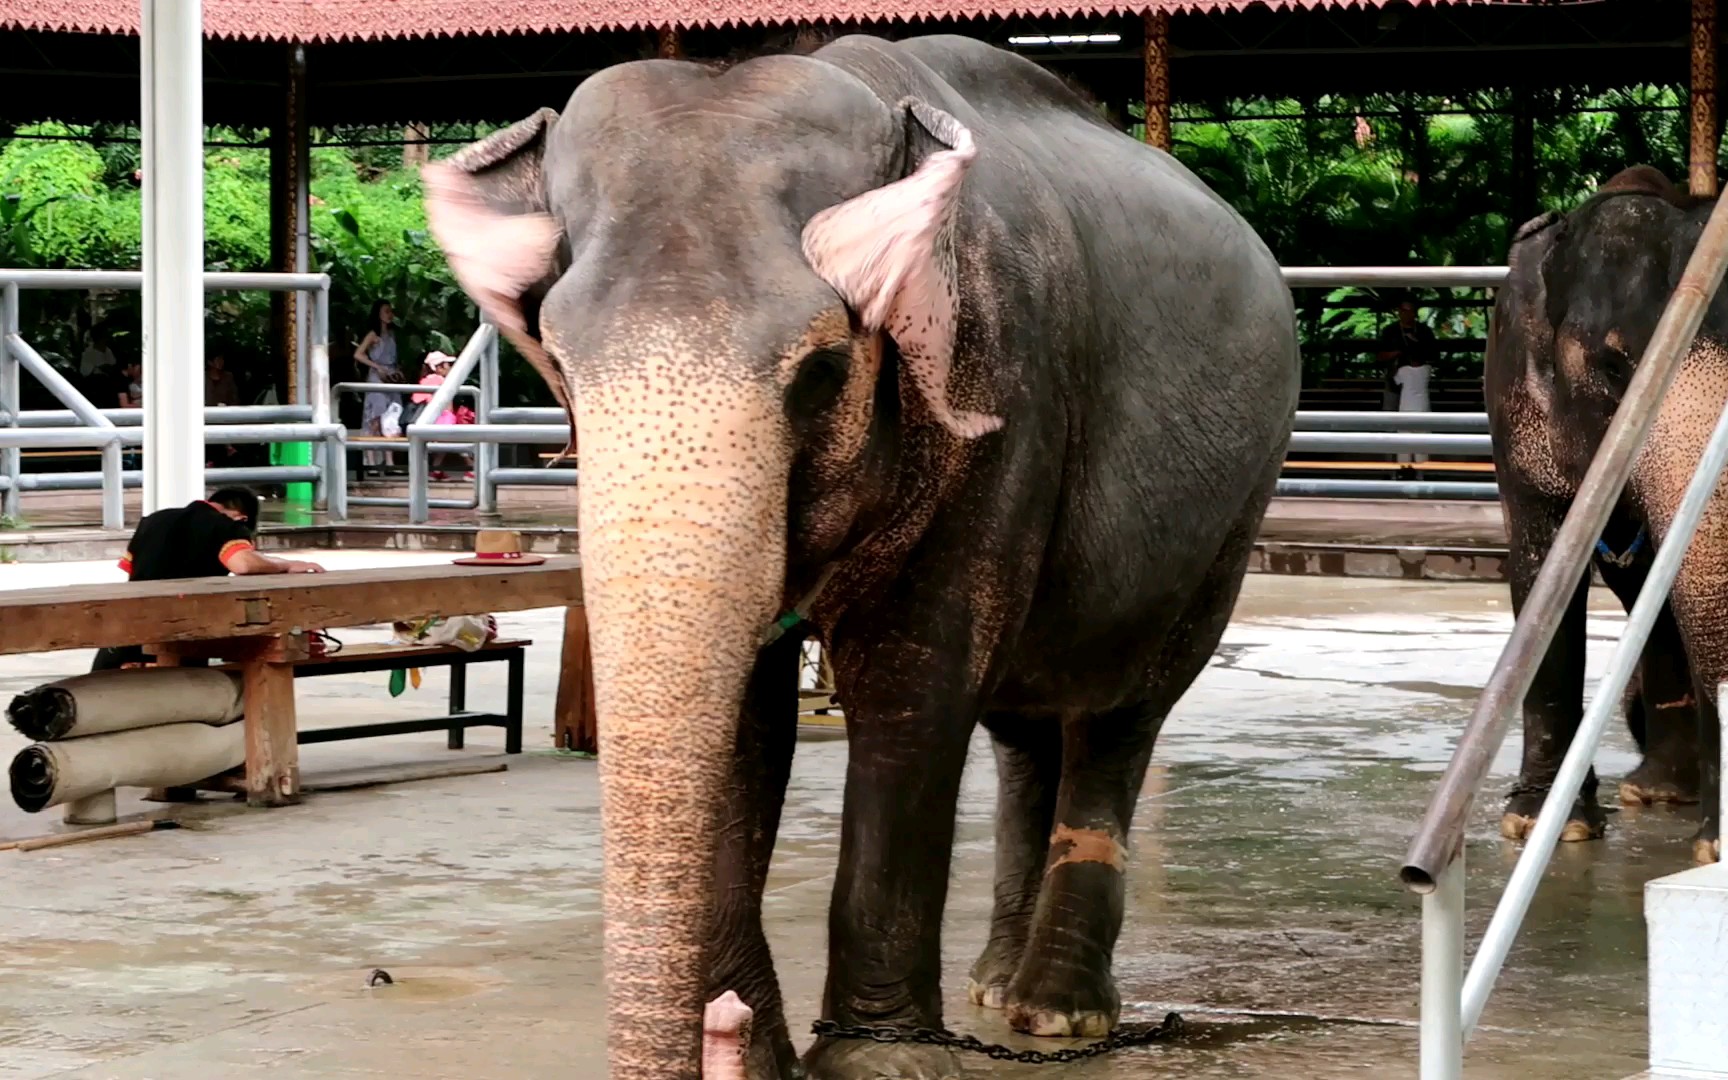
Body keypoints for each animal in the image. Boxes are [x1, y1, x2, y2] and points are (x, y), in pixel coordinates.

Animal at [424, 33, 1299, 1080]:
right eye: (558, 360)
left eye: (824, 370)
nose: (711, 1034)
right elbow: (747, 721)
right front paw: (760, 1054)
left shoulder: (1008, 398)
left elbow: (912, 687)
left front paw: (878, 1064)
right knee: (1024, 725)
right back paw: (993, 990)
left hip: (1236, 505)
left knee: (1122, 713)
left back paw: (1057, 1013)